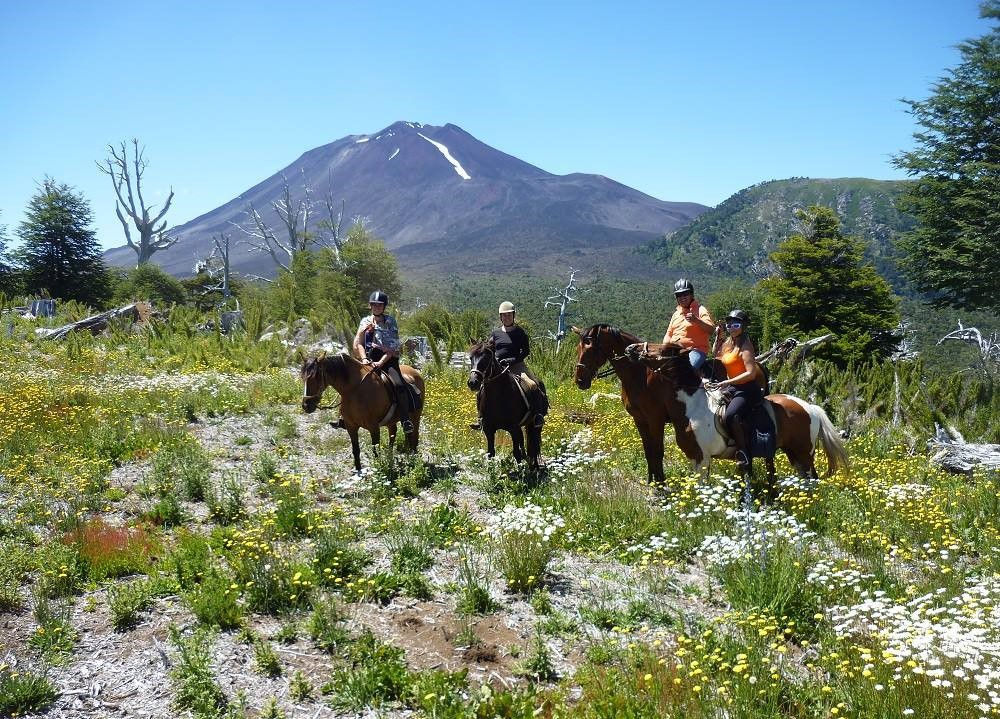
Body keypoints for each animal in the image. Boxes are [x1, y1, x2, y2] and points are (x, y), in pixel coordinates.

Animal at [466, 338, 540, 466]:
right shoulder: (489, 429)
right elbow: (490, 453)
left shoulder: (513, 428)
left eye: (487, 358)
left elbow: (516, 454)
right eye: (471, 358)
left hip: (532, 424)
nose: (473, 382)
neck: (497, 397)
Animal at [628, 340, 848, 498]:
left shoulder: (702, 457)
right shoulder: (694, 458)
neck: (694, 406)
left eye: (666, 350)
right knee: (804, 479)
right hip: (792, 452)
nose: (632, 348)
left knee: (812, 478)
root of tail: (810, 407)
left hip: (804, 452)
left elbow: (701, 489)